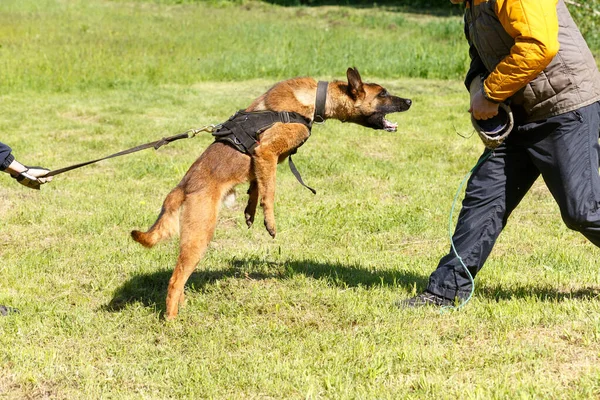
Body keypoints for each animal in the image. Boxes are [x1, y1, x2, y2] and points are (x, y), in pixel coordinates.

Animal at [131, 67, 412, 320]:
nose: (410, 101)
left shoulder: (262, 161)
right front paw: (269, 221)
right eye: (383, 93)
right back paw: (172, 319)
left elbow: (257, 186)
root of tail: (181, 188)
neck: (315, 99)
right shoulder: (267, 152)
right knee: (175, 280)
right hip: (199, 235)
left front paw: (250, 212)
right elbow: (270, 192)